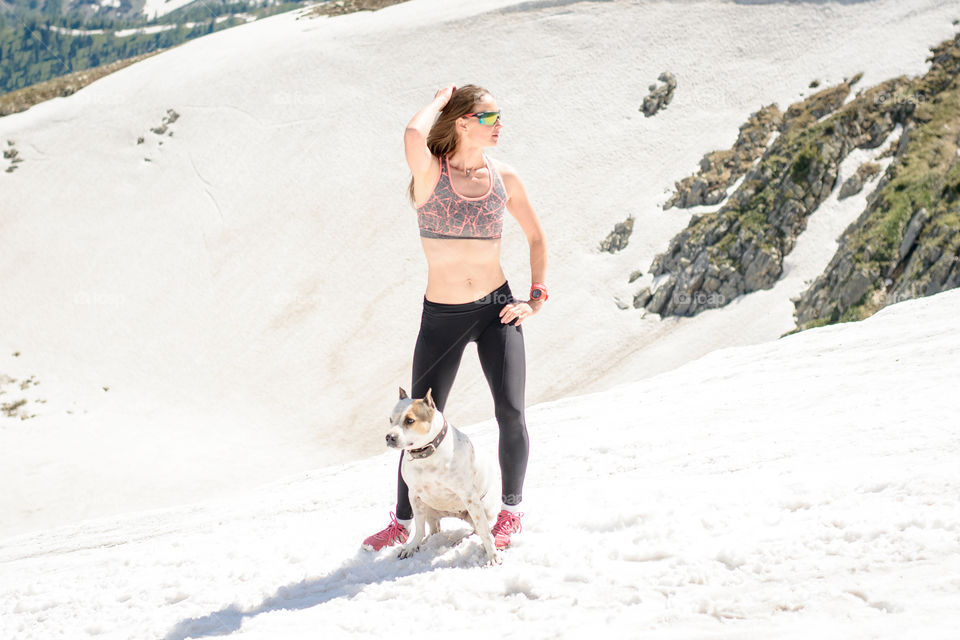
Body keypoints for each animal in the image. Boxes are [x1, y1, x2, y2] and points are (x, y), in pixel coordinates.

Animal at [384, 388, 502, 564]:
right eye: (391, 420)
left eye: (410, 420)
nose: (389, 437)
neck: (426, 454)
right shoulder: (414, 495)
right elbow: (419, 527)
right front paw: (412, 546)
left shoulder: (469, 497)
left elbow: (484, 532)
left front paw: (492, 555)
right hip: (427, 507)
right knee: (434, 529)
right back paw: (425, 541)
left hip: (484, 506)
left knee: (478, 529)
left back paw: (462, 540)